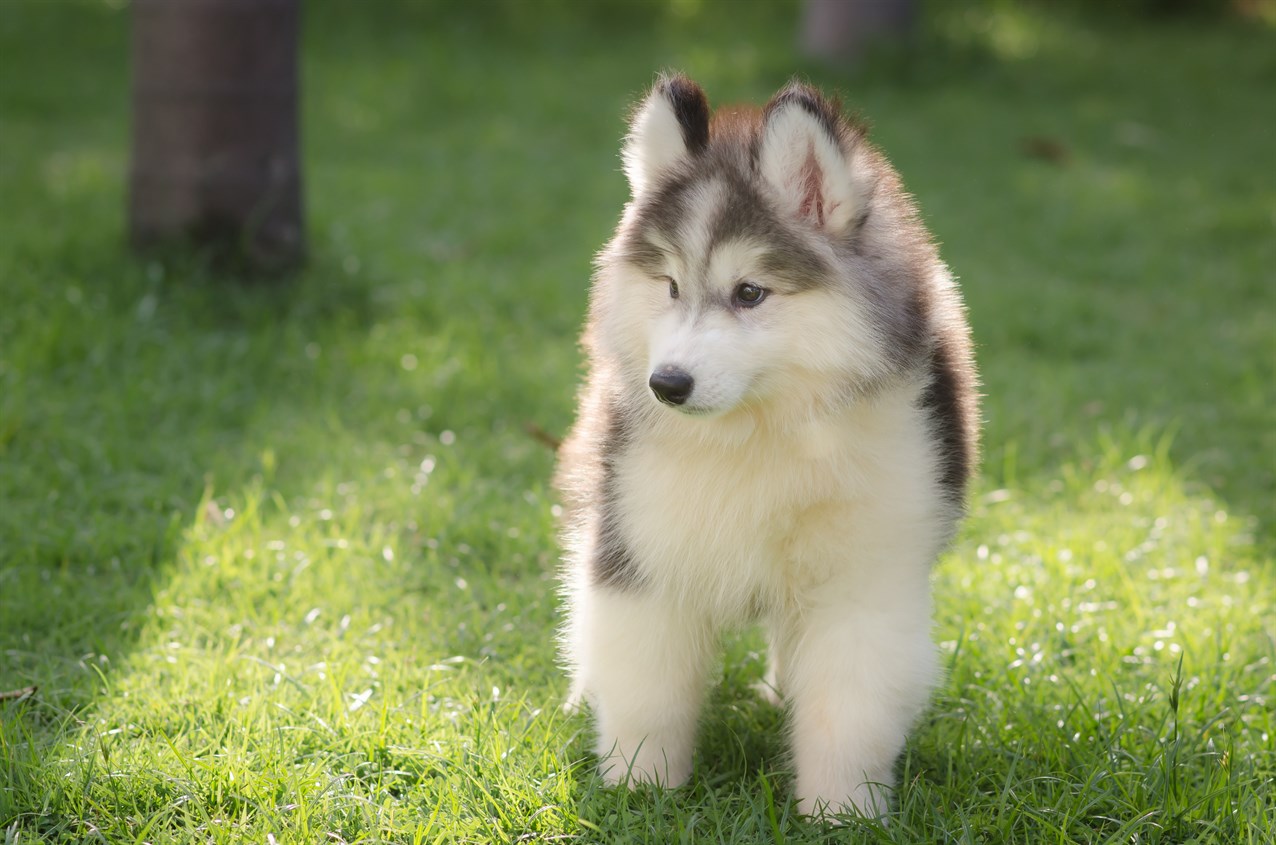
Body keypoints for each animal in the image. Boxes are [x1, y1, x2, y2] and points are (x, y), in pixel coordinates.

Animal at [553, 74, 979, 822]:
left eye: (750, 292)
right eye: (669, 286)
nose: (667, 384)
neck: (760, 430)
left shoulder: (866, 572)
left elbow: (849, 704)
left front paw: (842, 812)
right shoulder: (642, 547)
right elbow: (648, 685)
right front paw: (641, 788)